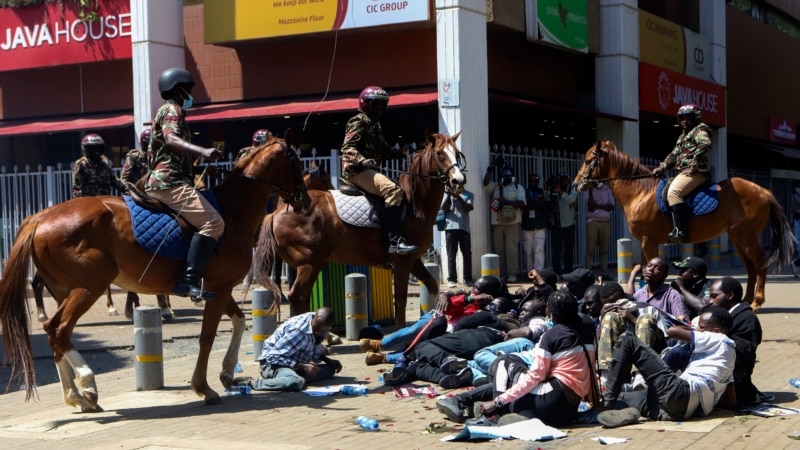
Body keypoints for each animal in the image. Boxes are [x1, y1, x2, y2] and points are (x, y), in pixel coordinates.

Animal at [0, 138, 310, 412]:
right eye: (295, 161)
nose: (305, 201)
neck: (231, 212)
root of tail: (41, 216)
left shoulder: (217, 289)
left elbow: (239, 321)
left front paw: (226, 374)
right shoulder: (219, 290)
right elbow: (207, 337)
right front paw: (203, 387)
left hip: (66, 290)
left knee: (55, 332)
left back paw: (77, 395)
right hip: (89, 288)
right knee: (59, 329)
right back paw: (87, 385)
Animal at [253, 131, 466, 326]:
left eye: (456, 153)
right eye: (440, 153)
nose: (459, 180)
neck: (414, 204)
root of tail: (275, 213)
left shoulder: (414, 261)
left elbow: (432, 286)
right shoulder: (402, 262)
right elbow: (400, 301)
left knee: (301, 298)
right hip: (310, 263)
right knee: (297, 296)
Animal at [576, 140, 792, 310]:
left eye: (588, 160)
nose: (577, 183)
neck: (640, 193)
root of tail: (764, 191)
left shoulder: (649, 240)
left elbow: (651, 265)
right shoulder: (646, 242)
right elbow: (645, 267)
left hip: (746, 236)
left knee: (760, 262)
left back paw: (756, 301)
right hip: (738, 238)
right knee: (750, 266)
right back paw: (745, 299)